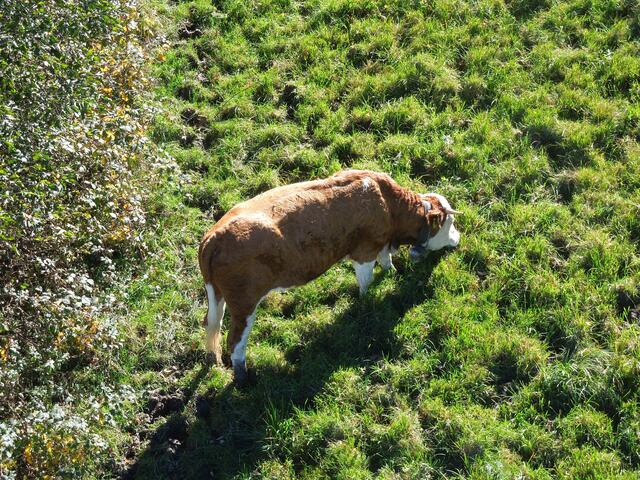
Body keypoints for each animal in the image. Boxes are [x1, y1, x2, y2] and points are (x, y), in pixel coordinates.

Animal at [198, 170, 462, 385]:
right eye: (450, 223)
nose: (458, 237)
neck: (388, 203)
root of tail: (214, 236)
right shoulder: (364, 251)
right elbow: (366, 282)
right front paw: (366, 302)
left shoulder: (380, 244)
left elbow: (386, 260)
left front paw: (392, 273)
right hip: (244, 305)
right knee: (235, 342)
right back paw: (243, 377)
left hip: (218, 296)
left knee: (213, 324)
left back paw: (215, 360)